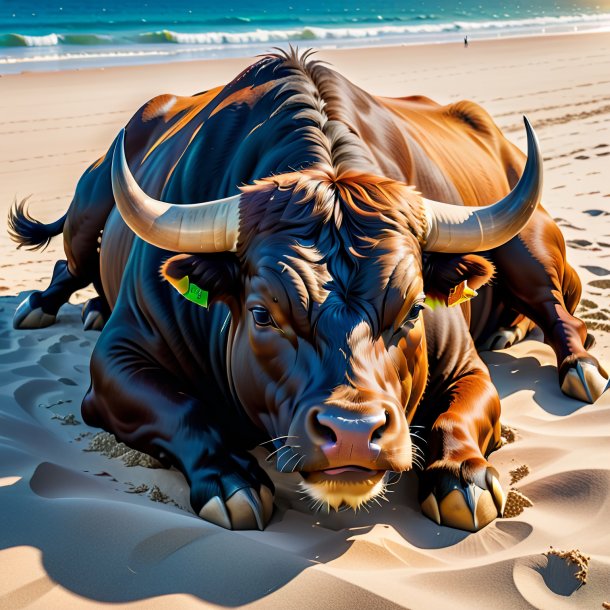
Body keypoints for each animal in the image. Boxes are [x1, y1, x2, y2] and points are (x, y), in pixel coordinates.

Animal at [7, 50, 604, 528]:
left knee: (559, 310)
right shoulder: (115, 362)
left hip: (527, 244)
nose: (354, 432)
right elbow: (183, 409)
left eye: (413, 310)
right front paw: (230, 478)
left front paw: (462, 475)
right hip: (85, 212)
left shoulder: (465, 366)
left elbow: (459, 414)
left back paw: (568, 360)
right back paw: (49, 305)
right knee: (67, 266)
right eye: (262, 315)